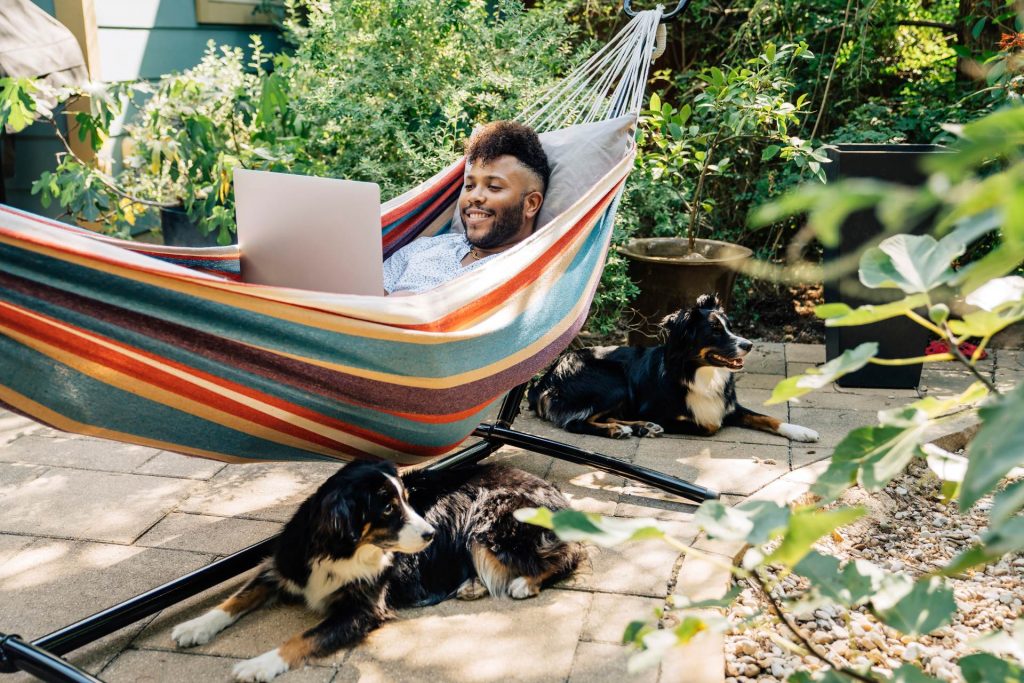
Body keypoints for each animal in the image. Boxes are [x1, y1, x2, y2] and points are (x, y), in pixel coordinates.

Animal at [172, 462, 581, 679]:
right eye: (387, 508)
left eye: (409, 500)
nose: (431, 535)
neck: (341, 550)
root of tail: (556, 492)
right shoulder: (284, 567)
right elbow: (236, 599)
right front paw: (195, 626)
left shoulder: (363, 608)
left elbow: (304, 637)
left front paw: (261, 664)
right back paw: (472, 586)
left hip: (490, 522)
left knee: (569, 551)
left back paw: (524, 583)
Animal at [532, 294, 819, 444]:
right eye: (715, 330)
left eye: (729, 326)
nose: (748, 345)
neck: (700, 372)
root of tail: (548, 376)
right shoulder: (664, 410)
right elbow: (709, 424)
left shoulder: (730, 406)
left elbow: (767, 417)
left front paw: (801, 431)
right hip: (613, 383)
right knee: (577, 422)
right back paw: (620, 429)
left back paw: (641, 427)